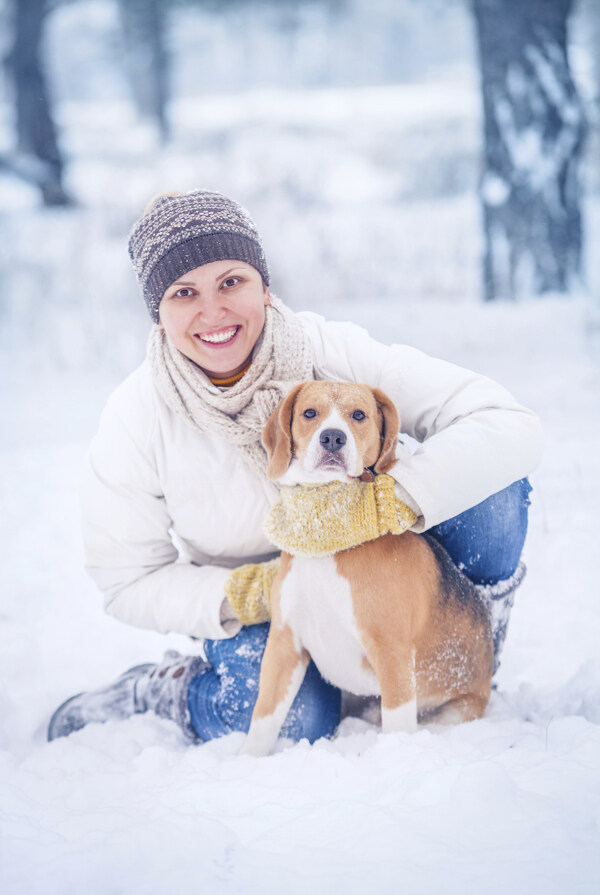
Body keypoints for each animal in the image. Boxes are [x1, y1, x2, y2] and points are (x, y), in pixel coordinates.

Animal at [239, 380, 492, 756]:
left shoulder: (391, 651)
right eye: (309, 413)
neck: (325, 533)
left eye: (359, 415)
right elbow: (264, 717)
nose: (332, 437)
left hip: (455, 711)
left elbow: (398, 722)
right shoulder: (285, 643)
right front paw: (246, 759)